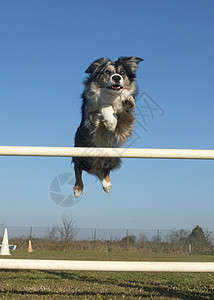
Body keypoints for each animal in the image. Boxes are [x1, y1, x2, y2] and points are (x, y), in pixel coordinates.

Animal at [72, 56, 143, 198]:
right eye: (107, 72)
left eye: (122, 72)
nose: (116, 77)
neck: (112, 95)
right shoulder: (91, 116)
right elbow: (104, 107)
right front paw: (110, 122)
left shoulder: (122, 128)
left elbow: (123, 114)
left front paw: (128, 103)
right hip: (81, 153)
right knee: (77, 168)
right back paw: (78, 188)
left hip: (112, 155)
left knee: (106, 168)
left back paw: (106, 184)